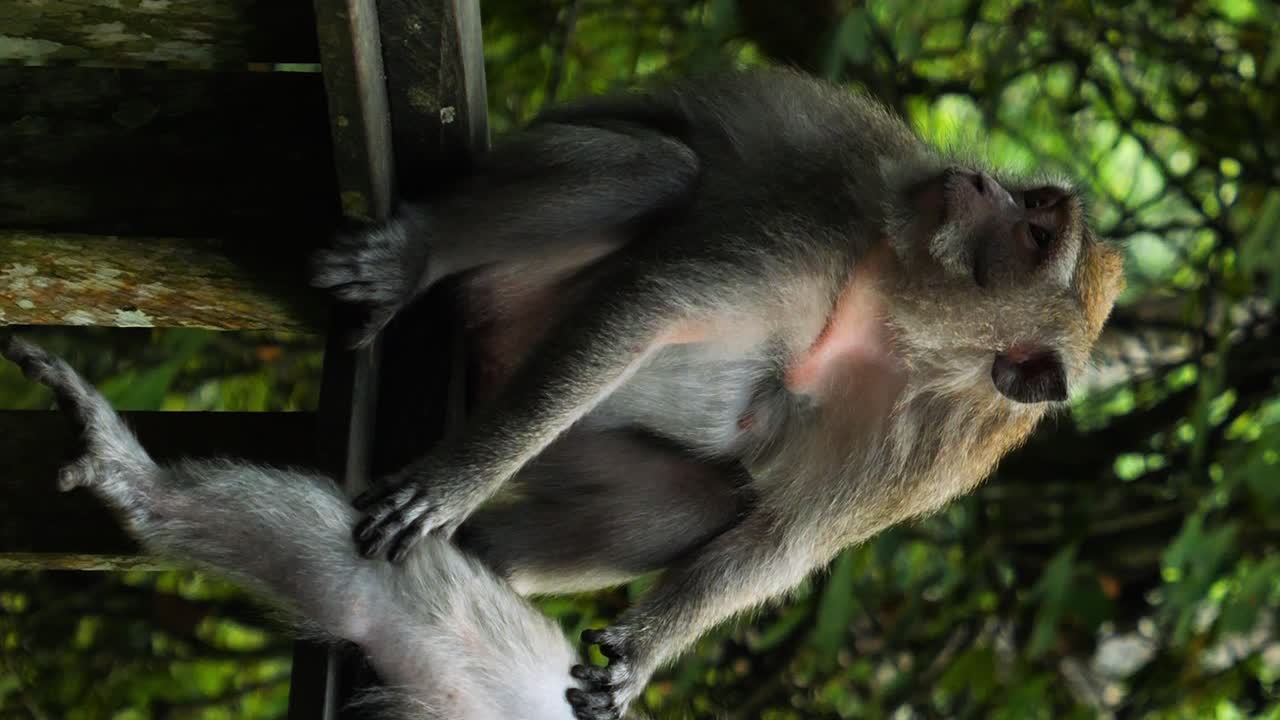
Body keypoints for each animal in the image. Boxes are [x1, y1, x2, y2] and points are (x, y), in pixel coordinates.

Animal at [309, 67, 1126, 718]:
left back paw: (483, 557)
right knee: (656, 170)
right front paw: (451, 484)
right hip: (511, 291)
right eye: (1033, 207)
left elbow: (784, 540)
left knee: (694, 503)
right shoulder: (814, 235)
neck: (904, 327)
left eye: (1035, 234)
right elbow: (649, 310)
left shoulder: (924, 455)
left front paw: (642, 655)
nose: (982, 182)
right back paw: (418, 255)